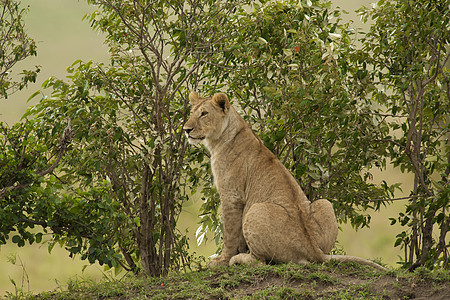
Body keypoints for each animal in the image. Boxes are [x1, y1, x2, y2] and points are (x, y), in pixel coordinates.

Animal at [185, 90, 384, 270]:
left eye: (204, 113)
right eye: (191, 112)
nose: (186, 130)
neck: (222, 137)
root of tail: (313, 249)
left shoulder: (231, 196)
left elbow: (230, 233)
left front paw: (222, 260)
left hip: (255, 209)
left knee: (260, 262)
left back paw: (239, 259)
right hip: (325, 204)